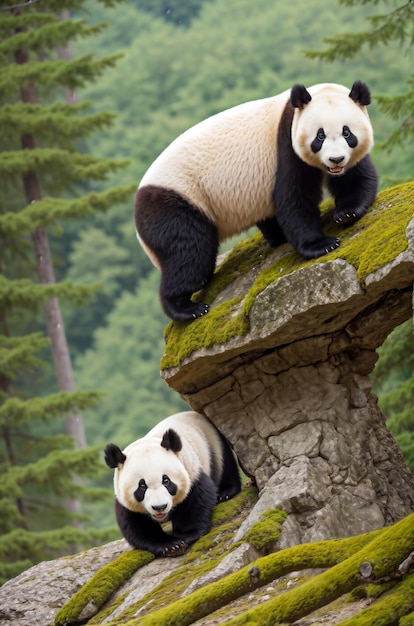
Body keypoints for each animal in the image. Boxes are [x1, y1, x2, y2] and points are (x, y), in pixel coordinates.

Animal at [103, 410, 241, 556]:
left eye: (166, 481)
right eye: (142, 486)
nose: (159, 507)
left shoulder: (191, 471)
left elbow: (195, 502)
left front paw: (185, 536)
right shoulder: (124, 499)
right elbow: (137, 524)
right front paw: (170, 545)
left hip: (211, 442)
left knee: (225, 464)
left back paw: (225, 493)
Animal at [135, 80, 378, 320]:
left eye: (347, 133)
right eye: (320, 136)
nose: (336, 159)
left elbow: (354, 177)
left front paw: (347, 212)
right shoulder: (286, 143)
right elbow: (293, 195)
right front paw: (320, 245)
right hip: (177, 201)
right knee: (190, 252)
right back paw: (185, 308)